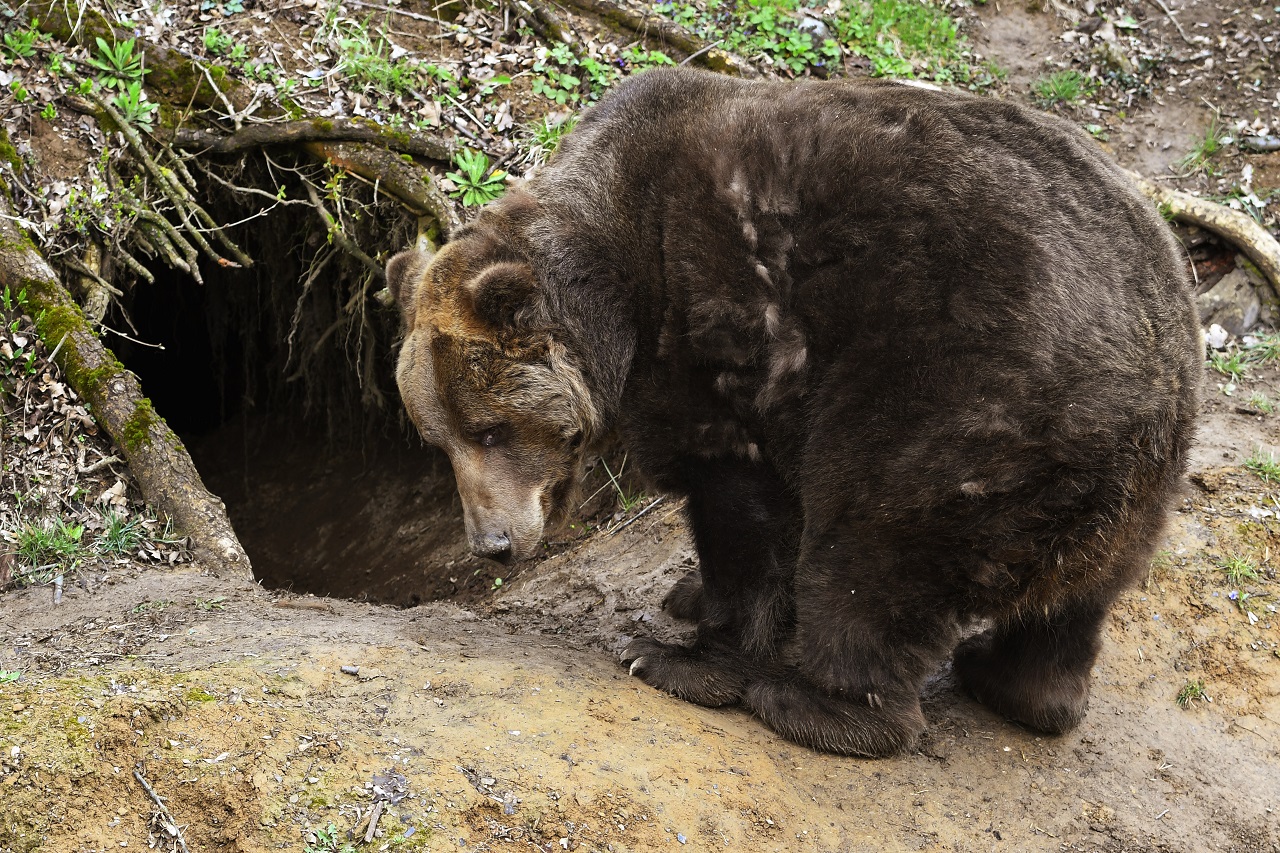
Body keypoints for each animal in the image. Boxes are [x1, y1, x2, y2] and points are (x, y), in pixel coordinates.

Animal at [386, 69, 1198, 753]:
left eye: (490, 429)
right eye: (437, 440)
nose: (491, 544)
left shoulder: (716, 334)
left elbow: (743, 507)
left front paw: (680, 654)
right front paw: (686, 597)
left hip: (958, 408)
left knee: (869, 548)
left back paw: (812, 703)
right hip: (1129, 479)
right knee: (1079, 599)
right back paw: (1017, 683)